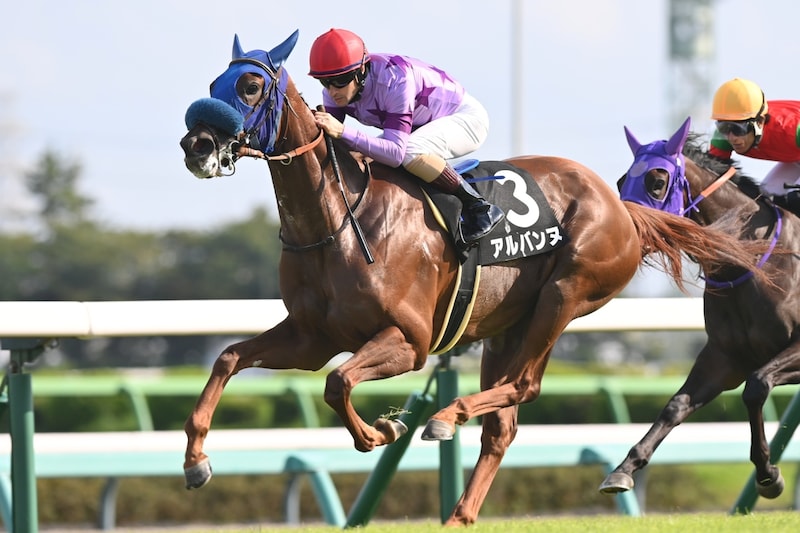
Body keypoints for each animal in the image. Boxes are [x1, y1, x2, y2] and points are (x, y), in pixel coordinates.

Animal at [179, 32, 767, 525]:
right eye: (212, 86)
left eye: (251, 85)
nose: (197, 146)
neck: (338, 220)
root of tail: (622, 206)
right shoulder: (312, 338)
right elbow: (230, 357)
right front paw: (195, 461)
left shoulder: (410, 341)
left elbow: (338, 382)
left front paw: (382, 430)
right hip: (506, 327)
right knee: (502, 423)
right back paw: (459, 513)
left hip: (565, 295)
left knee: (524, 386)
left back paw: (444, 417)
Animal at [599, 117, 800, 506]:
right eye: (620, 181)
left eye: (657, 182)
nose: (623, 233)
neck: (748, 263)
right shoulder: (724, 358)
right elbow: (676, 405)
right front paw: (623, 469)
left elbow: (756, 387)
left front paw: (768, 475)